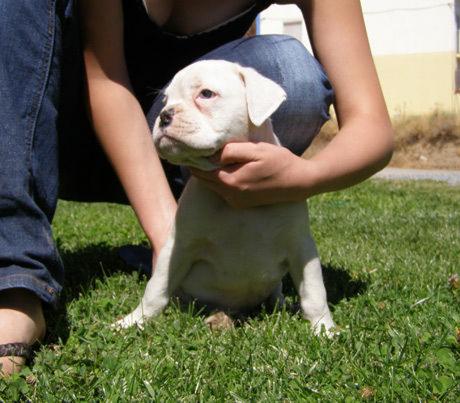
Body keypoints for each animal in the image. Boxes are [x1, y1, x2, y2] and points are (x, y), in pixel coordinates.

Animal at [116, 60, 334, 336]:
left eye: (206, 94)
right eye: (165, 100)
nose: (164, 115)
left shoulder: (301, 247)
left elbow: (315, 292)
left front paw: (325, 330)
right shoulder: (179, 246)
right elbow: (156, 288)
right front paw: (134, 320)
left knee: (276, 294)